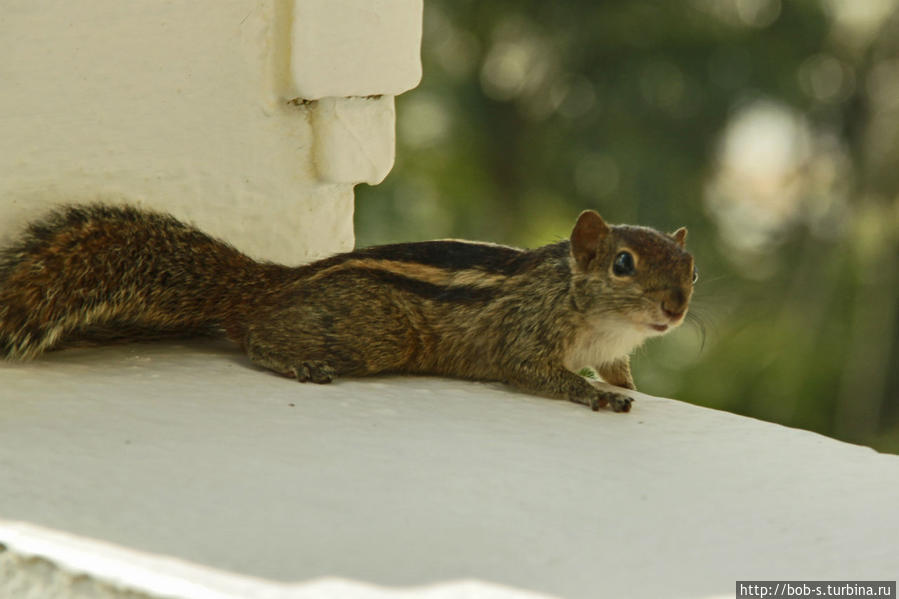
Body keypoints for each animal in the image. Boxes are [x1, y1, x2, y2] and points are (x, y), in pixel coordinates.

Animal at [0, 205, 696, 412]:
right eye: (623, 264)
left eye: (691, 267)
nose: (676, 308)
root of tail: (271, 284)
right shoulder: (525, 333)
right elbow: (536, 372)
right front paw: (593, 396)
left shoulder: (615, 351)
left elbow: (621, 371)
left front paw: (625, 387)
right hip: (376, 331)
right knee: (255, 337)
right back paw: (298, 362)